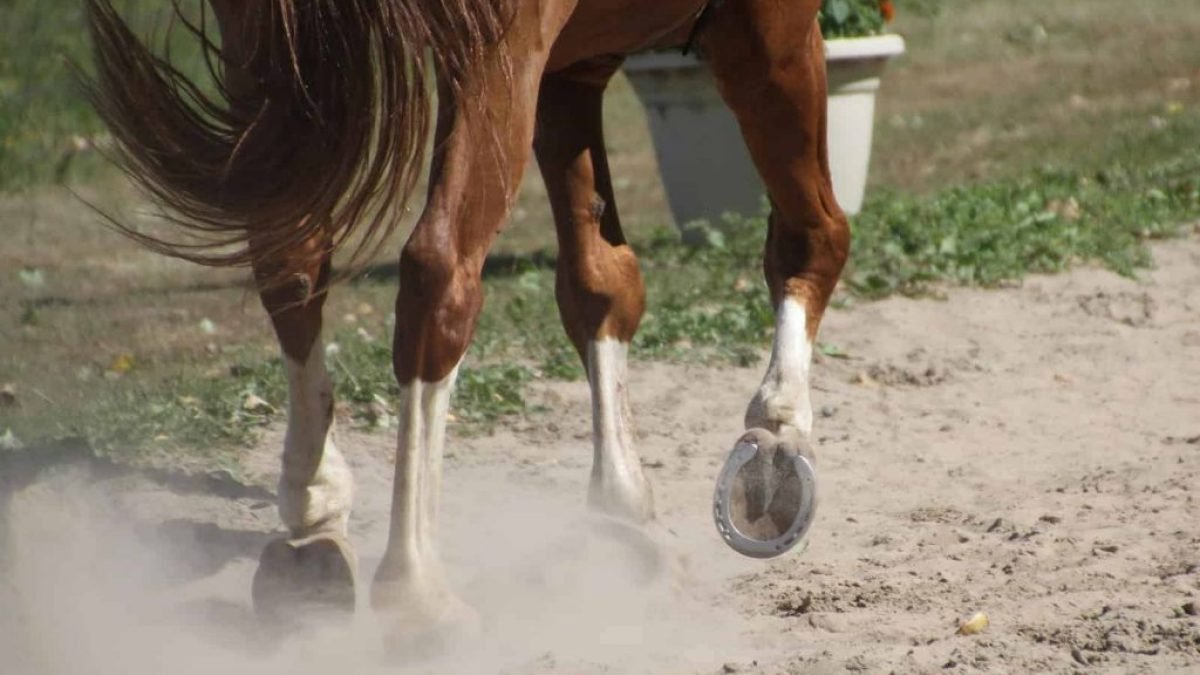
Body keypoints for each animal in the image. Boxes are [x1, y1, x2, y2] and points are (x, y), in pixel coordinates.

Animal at [85, 0, 849, 633]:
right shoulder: (768, 29)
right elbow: (813, 236)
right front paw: (776, 442)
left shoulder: (570, 67)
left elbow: (600, 282)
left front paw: (622, 507)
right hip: (491, 55)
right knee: (439, 272)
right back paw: (416, 590)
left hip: (267, 53)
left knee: (289, 249)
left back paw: (313, 519)